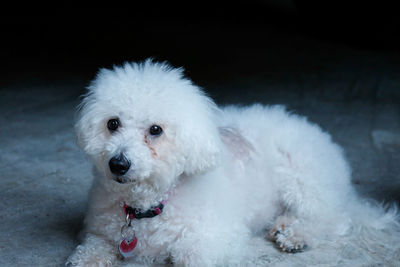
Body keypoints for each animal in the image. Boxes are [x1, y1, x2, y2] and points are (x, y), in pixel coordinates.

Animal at [67, 60, 398, 267]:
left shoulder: (220, 237)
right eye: (112, 123)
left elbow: (191, 255)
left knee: (334, 219)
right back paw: (282, 224)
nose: (118, 163)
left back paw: (297, 234)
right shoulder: (99, 231)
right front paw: (85, 259)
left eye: (156, 130)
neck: (150, 204)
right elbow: (91, 248)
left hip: (304, 180)